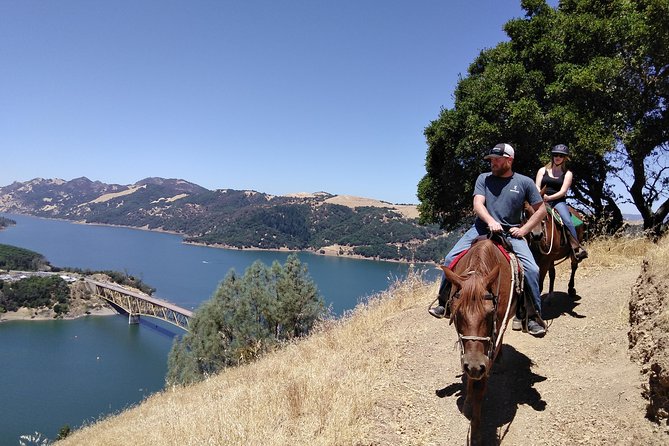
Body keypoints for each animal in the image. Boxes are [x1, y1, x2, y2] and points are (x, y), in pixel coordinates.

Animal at [440, 239, 520, 444]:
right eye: (457, 313)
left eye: (491, 313)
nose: (476, 366)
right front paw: (468, 401)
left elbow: (480, 386)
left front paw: (476, 433)